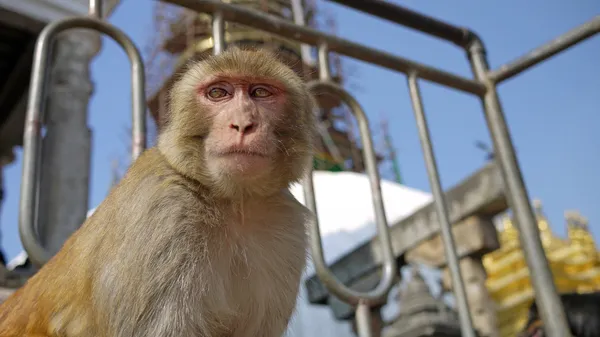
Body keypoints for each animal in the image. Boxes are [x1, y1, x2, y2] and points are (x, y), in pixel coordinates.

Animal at [0, 47, 318, 336]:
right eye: (218, 93)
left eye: (261, 93)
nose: (242, 124)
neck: (233, 202)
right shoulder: (162, 212)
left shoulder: (285, 228)